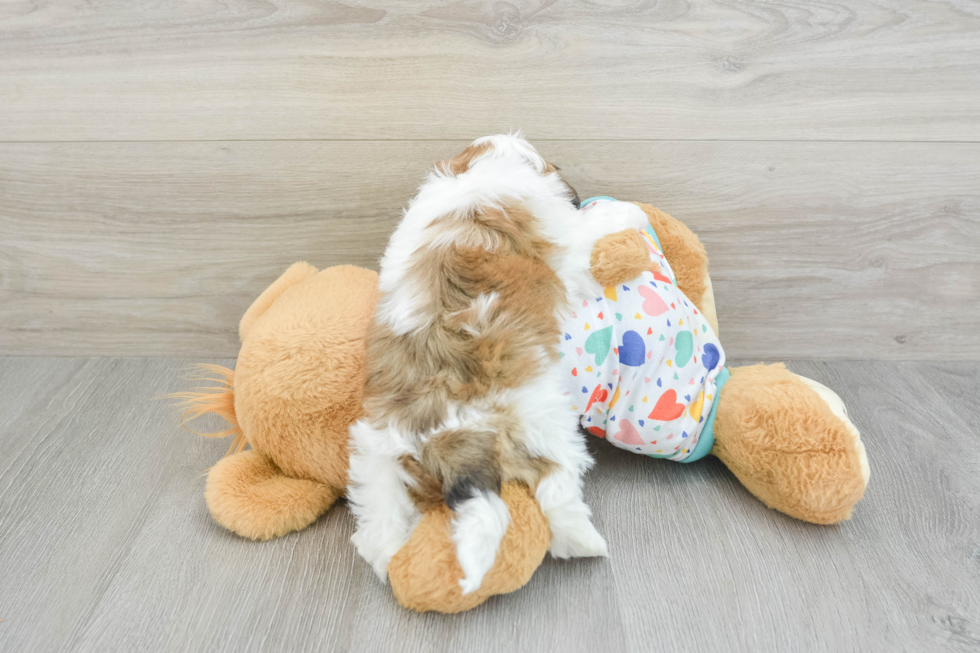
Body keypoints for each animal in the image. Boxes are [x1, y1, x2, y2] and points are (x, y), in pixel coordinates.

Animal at [348, 135, 656, 592]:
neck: (478, 171)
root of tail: (446, 432)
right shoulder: (569, 240)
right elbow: (591, 227)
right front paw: (630, 211)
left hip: (375, 453)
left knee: (378, 523)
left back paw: (390, 560)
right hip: (541, 419)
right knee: (555, 482)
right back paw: (582, 540)